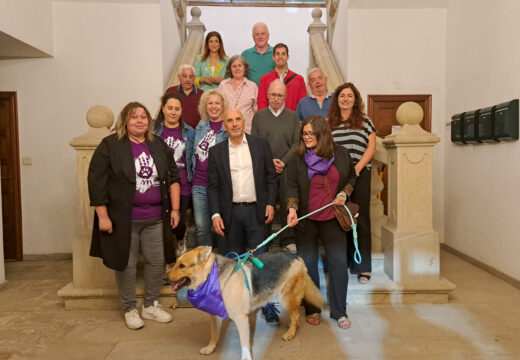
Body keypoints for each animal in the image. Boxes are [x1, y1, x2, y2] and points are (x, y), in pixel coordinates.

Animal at [169, 246, 322, 358]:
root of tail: (297, 256)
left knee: (296, 314)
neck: (214, 277)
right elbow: (214, 333)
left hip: (286, 298)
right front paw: (210, 347)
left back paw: (291, 333)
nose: (166, 275)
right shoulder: (215, 315)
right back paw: (293, 326)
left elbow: (244, 343)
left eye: (182, 266)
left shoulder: (241, 318)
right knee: (295, 315)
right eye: (176, 263)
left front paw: (246, 357)